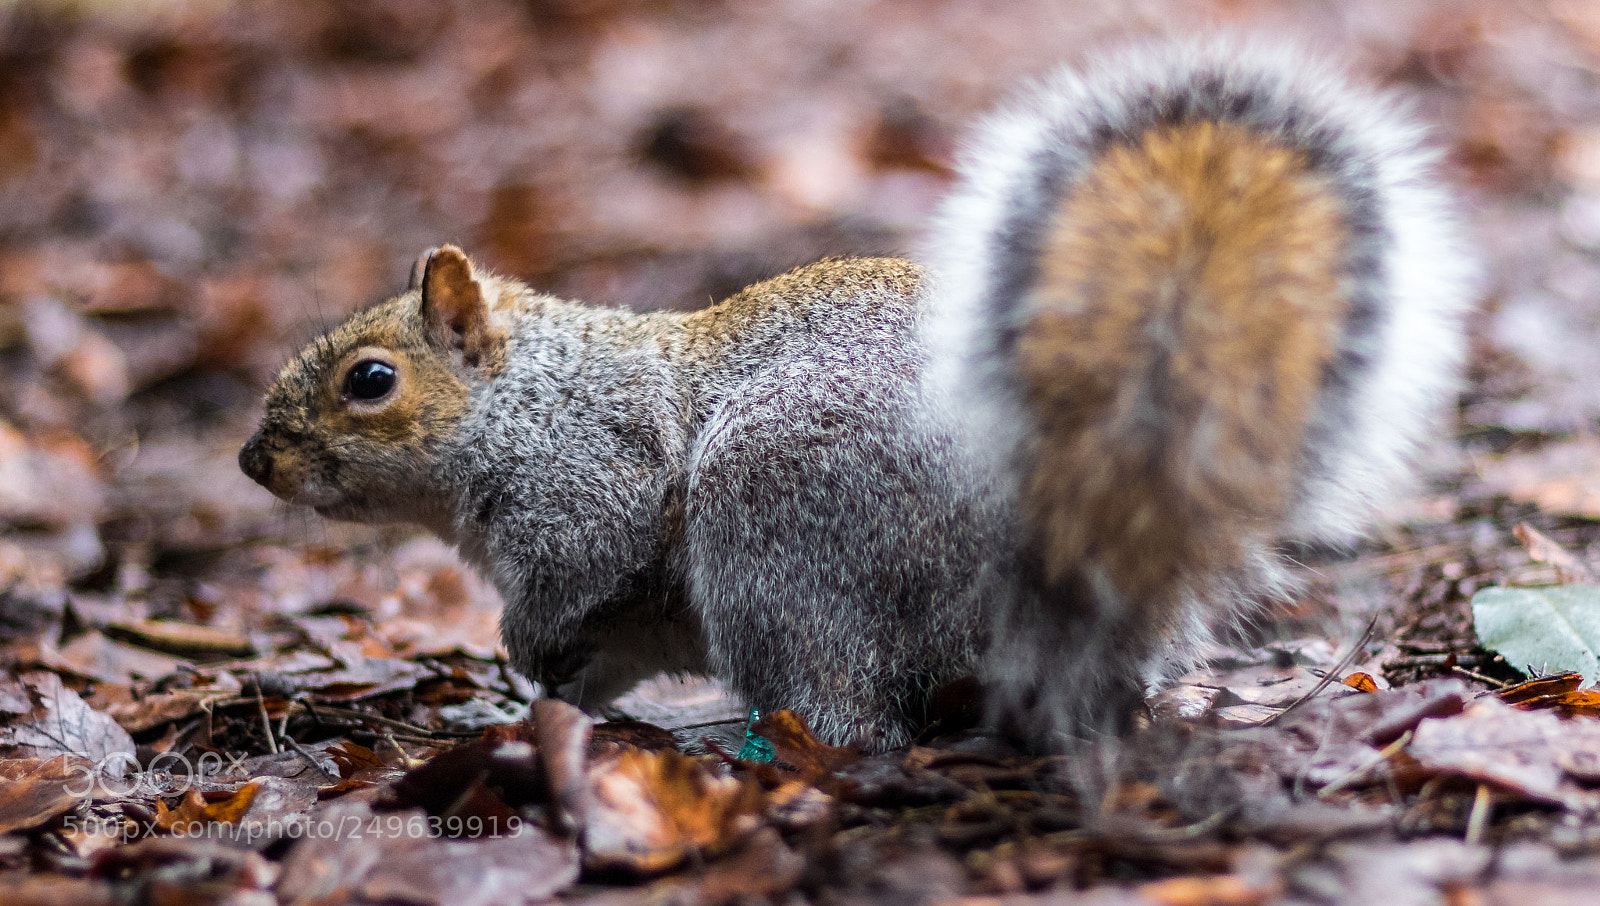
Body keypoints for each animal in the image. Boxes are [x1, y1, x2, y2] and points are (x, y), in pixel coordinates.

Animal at [239, 38, 1473, 751]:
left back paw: (740, 746)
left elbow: (590, 553)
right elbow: (596, 646)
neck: (525, 392)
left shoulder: (586, 471)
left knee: (847, 722)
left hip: (774, 530)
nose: (256, 463)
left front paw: (520, 649)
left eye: (370, 381)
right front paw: (534, 690)